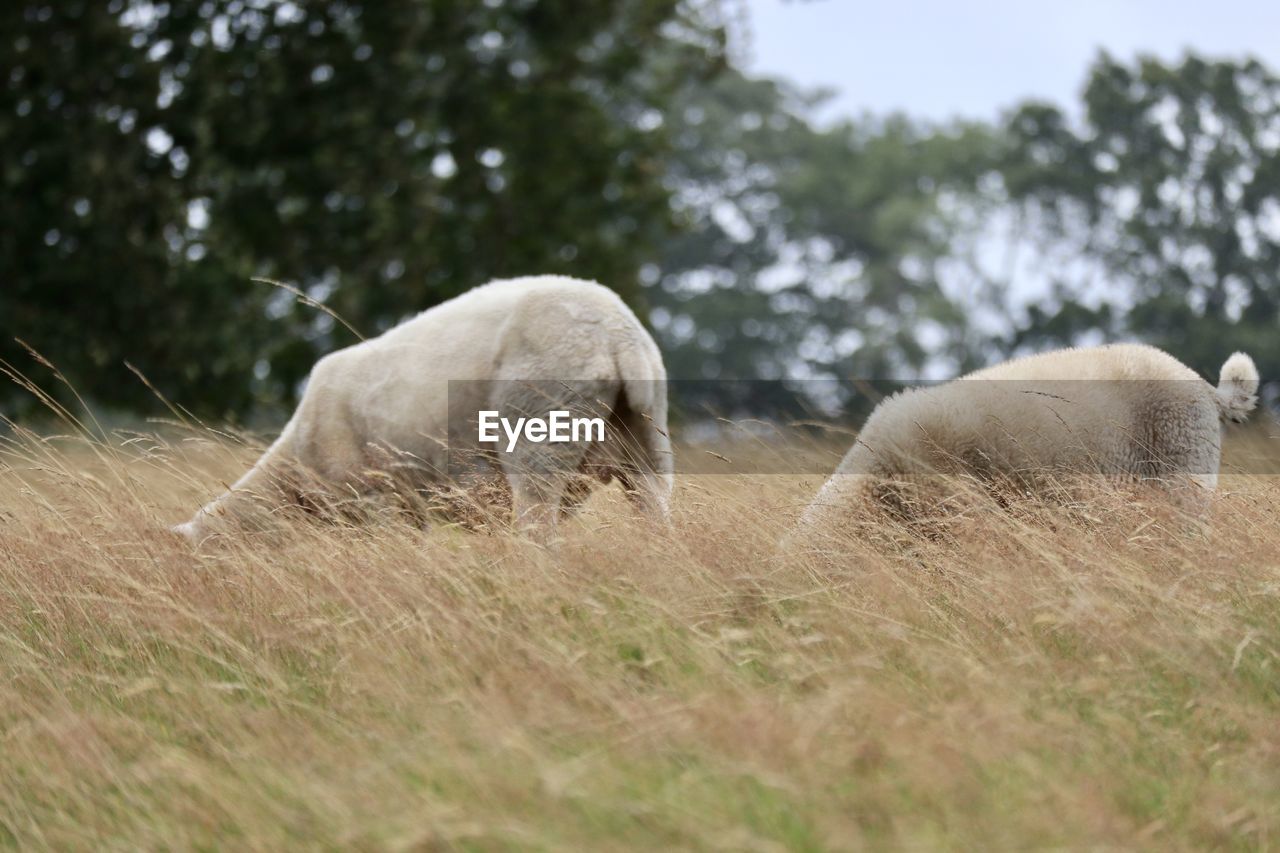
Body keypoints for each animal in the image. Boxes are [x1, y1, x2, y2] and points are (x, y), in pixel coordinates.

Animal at [175, 275, 675, 540]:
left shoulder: (375, 497)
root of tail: (617, 335)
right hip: (646, 433)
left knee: (539, 523)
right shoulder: (408, 505)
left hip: (543, 417)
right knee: (654, 506)